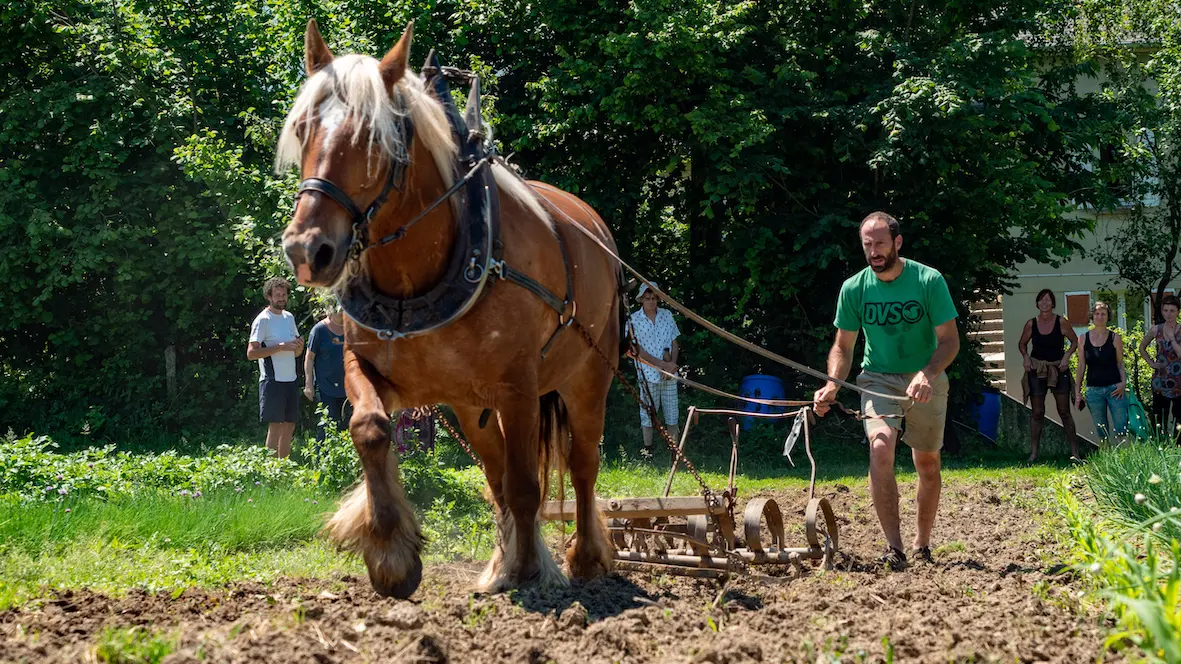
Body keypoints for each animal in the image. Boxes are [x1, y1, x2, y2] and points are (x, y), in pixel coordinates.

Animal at [278, 20, 618, 597]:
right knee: (497, 474)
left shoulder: (518, 386)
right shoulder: (370, 368)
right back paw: (502, 562)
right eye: (302, 128)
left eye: (374, 136)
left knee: (581, 466)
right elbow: (370, 428)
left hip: (588, 379)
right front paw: (391, 553)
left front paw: (530, 569)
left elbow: (527, 484)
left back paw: (585, 558)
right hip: (471, 406)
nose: (308, 249)